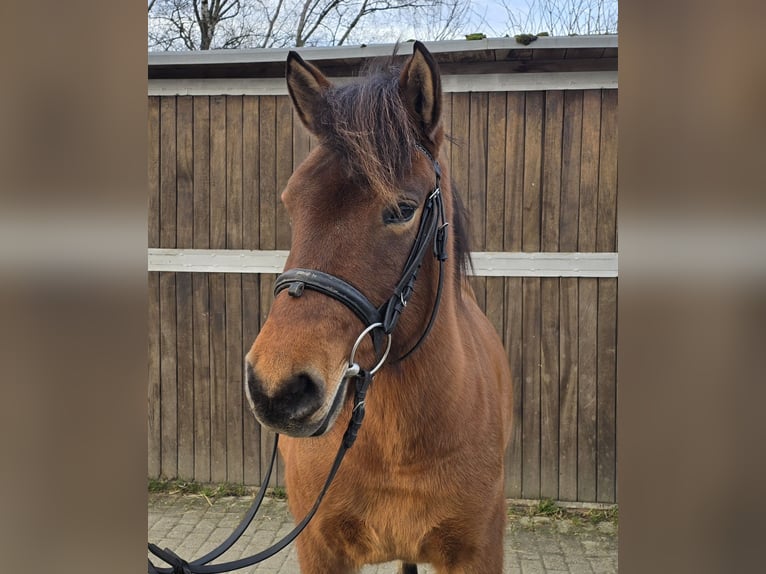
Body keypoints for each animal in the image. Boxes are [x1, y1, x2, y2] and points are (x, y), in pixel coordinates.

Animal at [243, 42, 512, 572]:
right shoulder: (321, 551)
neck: (396, 445)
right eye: (291, 201)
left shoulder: (478, 553)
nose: (277, 389)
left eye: (403, 210)